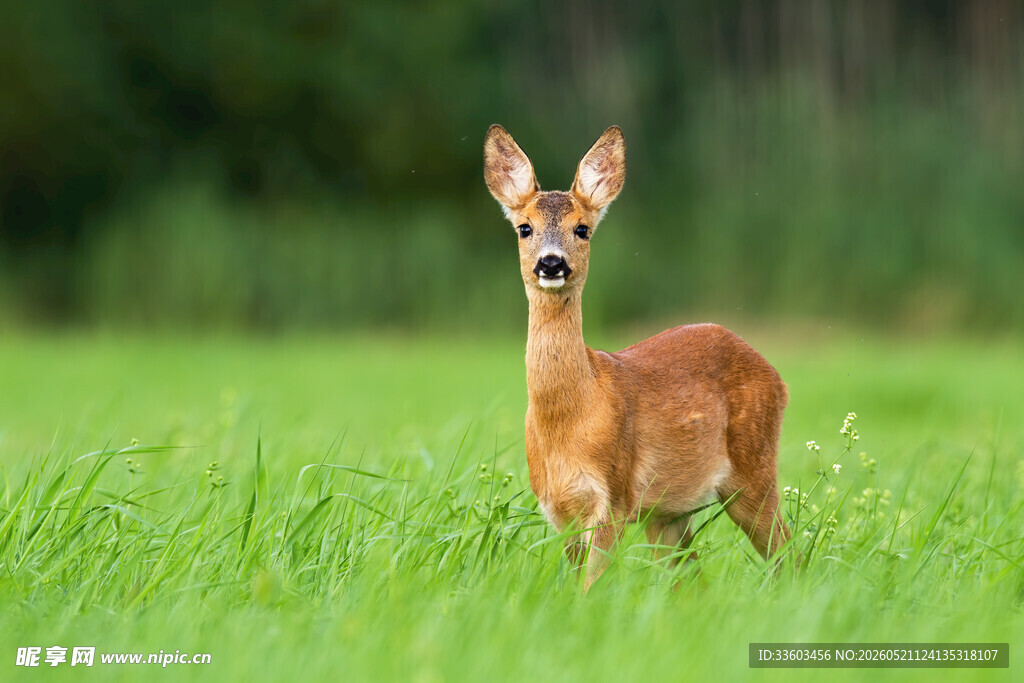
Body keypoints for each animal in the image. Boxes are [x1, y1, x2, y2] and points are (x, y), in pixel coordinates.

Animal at [483, 124, 791, 590]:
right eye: (524, 228)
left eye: (582, 229)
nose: (551, 263)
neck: (571, 416)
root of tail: (777, 377)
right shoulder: (557, 509)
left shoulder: (612, 496)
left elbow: (590, 588)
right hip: (669, 512)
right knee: (692, 577)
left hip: (752, 471)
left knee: (789, 551)